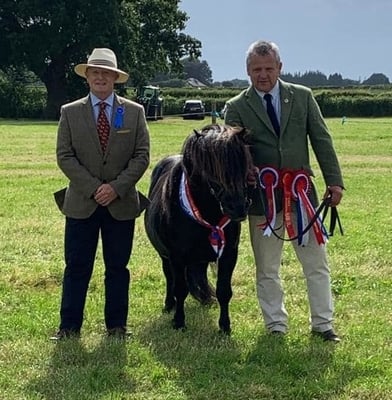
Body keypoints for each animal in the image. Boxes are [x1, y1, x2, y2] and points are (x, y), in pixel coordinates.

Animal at [145, 125, 253, 334]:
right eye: (210, 169)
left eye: (243, 162)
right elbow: (180, 289)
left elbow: (224, 291)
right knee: (169, 278)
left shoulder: (228, 254)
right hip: (165, 256)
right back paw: (169, 305)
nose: (237, 208)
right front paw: (179, 322)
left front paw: (225, 327)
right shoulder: (177, 257)